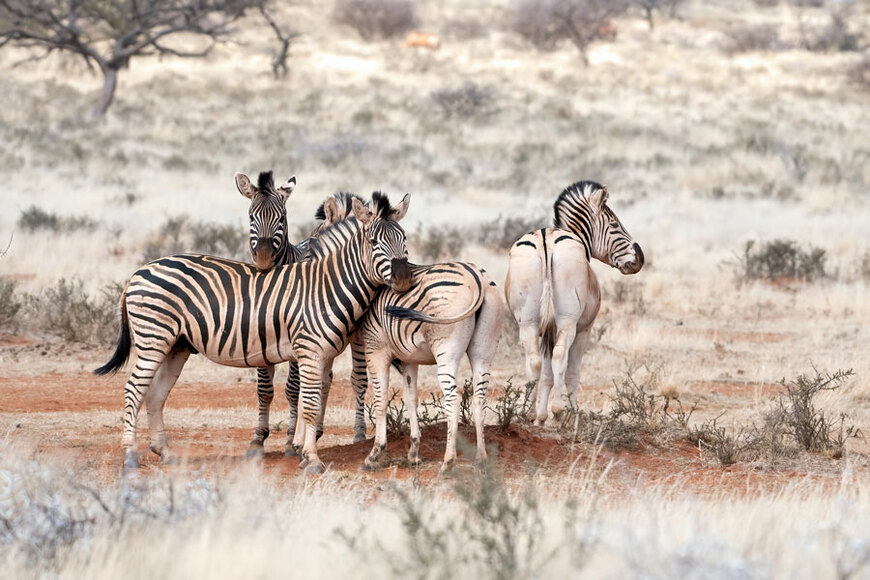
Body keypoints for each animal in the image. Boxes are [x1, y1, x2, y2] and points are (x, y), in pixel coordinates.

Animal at [94, 192, 412, 474]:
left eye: (404, 239)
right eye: (374, 242)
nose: (403, 278)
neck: (328, 284)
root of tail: (139, 270)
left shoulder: (322, 354)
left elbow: (313, 399)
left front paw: (304, 452)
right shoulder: (308, 352)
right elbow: (308, 403)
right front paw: (311, 459)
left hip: (176, 346)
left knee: (155, 394)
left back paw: (166, 453)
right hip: (153, 338)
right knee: (134, 390)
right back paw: (130, 457)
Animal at [505, 181, 644, 425]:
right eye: (615, 224)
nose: (640, 258)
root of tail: (546, 239)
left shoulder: (546, 329)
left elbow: (547, 372)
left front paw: (540, 417)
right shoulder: (584, 329)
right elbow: (572, 372)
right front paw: (572, 413)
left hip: (527, 321)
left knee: (534, 360)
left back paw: (526, 412)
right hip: (568, 320)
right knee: (561, 356)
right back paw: (559, 411)